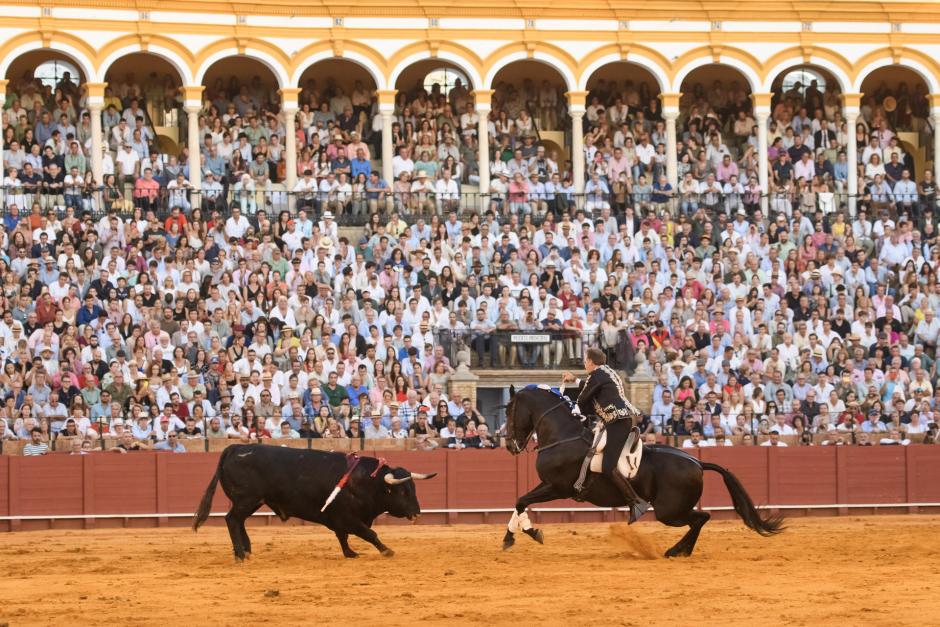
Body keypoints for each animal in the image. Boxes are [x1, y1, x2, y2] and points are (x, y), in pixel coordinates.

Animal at [196, 444, 438, 560]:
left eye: (413, 489)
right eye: (403, 492)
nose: (417, 512)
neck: (368, 481)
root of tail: (235, 448)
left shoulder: (340, 520)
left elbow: (343, 537)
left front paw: (350, 553)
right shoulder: (348, 517)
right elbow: (369, 534)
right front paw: (387, 551)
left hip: (253, 501)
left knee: (239, 521)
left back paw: (246, 550)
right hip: (246, 499)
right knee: (231, 520)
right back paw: (239, 554)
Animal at [504, 388, 784, 560]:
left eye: (508, 410)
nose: (508, 444)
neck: (563, 435)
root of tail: (697, 462)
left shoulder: (556, 487)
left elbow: (521, 500)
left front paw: (531, 533)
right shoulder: (549, 485)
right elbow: (519, 502)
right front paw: (510, 538)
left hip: (668, 511)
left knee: (701, 517)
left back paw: (674, 550)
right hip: (672, 510)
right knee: (700, 519)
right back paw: (680, 551)